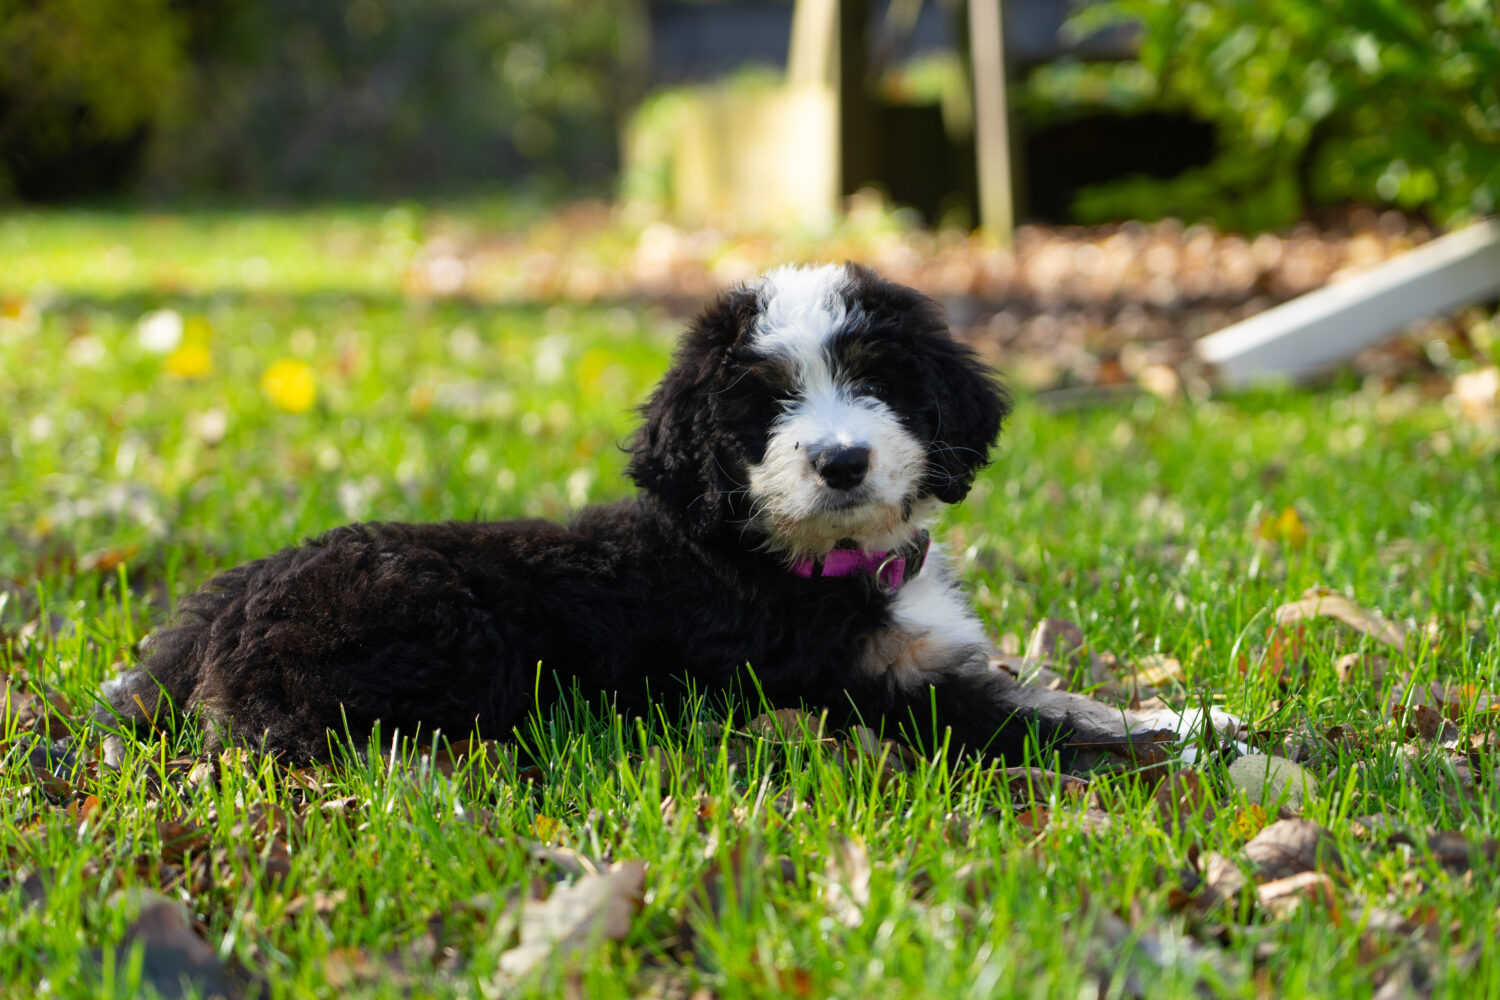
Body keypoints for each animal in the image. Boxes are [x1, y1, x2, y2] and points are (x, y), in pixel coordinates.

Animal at [105, 262, 1128, 761]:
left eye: (878, 380)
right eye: (762, 407)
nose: (842, 462)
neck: (809, 557)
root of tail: (208, 625)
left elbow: (1052, 694)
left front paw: (1150, 711)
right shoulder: (863, 688)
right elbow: (1035, 722)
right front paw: (1158, 741)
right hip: (445, 626)